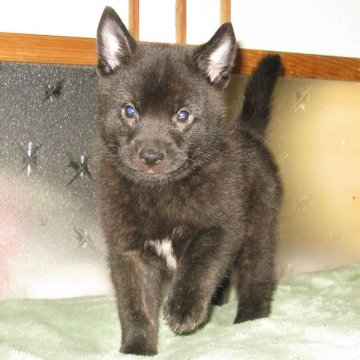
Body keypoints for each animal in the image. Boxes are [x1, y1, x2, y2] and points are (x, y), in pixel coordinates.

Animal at [97, 7, 282, 356]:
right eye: (129, 111)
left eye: (182, 115)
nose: (150, 156)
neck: (160, 192)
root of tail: (247, 132)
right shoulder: (127, 250)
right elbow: (134, 304)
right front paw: (137, 348)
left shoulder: (221, 227)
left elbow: (199, 265)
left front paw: (184, 310)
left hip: (259, 226)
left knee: (258, 273)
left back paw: (251, 321)